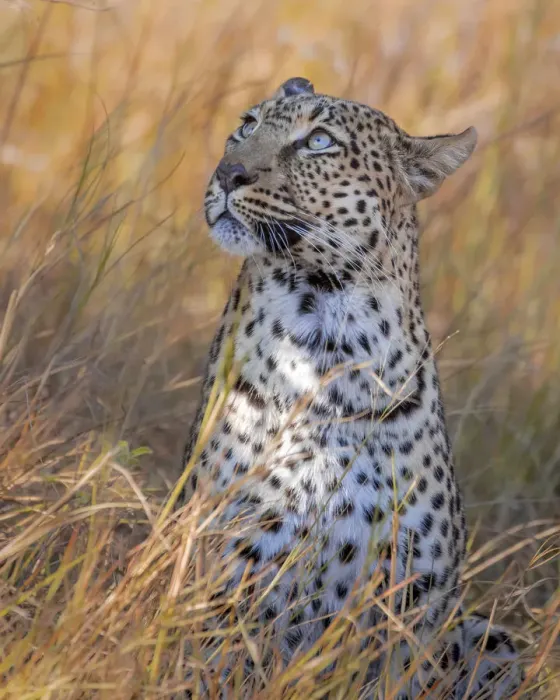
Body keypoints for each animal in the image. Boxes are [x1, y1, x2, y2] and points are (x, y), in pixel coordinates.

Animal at [179, 77, 525, 698]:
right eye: (246, 124)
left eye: (319, 141)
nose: (228, 172)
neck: (325, 339)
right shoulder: (231, 573)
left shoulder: (413, 606)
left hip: (495, 639)